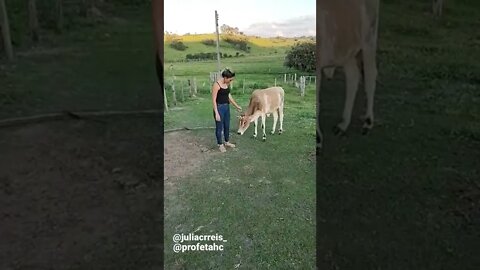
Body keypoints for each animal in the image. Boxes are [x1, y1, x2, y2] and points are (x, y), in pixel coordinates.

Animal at [316, 0, 380, 152]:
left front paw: (318, 140)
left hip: (369, 39)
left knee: (370, 77)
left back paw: (368, 122)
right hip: (348, 51)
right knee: (353, 79)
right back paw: (343, 124)